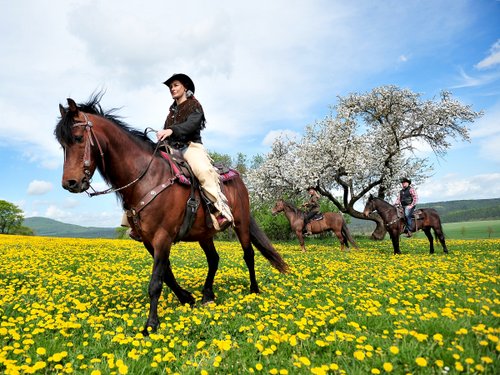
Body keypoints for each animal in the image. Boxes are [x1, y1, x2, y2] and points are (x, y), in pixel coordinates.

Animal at [53, 95, 290, 336]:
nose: (69, 183)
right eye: (62, 144)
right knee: (213, 259)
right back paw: (207, 295)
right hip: (205, 234)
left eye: (78, 138)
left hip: (240, 223)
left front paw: (151, 324)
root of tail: (239, 178)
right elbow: (166, 274)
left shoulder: (163, 236)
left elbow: (156, 281)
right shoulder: (148, 240)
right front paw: (186, 298)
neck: (147, 177)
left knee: (248, 255)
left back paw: (254, 290)